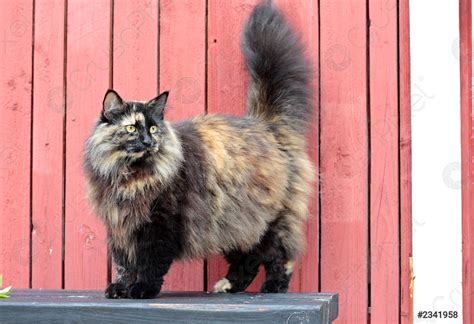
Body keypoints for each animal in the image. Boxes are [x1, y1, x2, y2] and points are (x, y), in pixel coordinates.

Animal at [85, 0, 314, 298]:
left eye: (154, 129)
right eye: (133, 128)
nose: (148, 142)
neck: (132, 176)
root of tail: (266, 125)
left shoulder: (160, 223)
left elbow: (149, 263)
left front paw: (142, 289)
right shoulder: (121, 227)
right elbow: (124, 264)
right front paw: (120, 288)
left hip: (269, 220)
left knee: (280, 255)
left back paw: (273, 287)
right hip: (235, 222)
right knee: (249, 259)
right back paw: (229, 286)